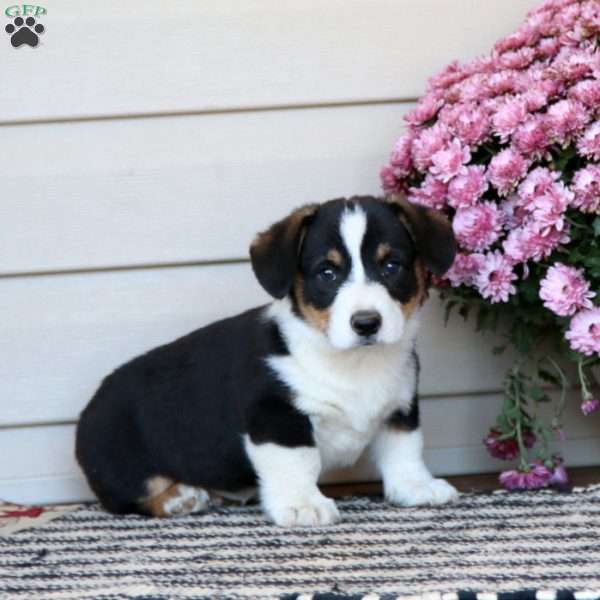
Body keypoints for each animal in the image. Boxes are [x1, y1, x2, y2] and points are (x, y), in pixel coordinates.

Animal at [76, 196, 460, 524]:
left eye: (392, 266)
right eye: (327, 273)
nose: (366, 323)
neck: (353, 364)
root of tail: (86, 413)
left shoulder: (401, 407)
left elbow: (404, 450)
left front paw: (416, 487)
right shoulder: (276, 416)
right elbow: (298, 462)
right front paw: (304, 505)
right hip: (124, 468)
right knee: (129, 499)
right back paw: (181, 498)